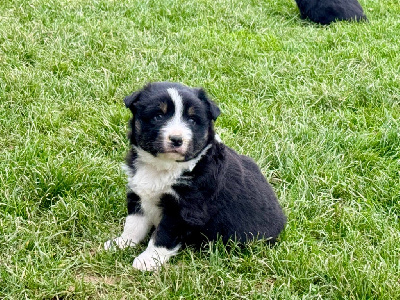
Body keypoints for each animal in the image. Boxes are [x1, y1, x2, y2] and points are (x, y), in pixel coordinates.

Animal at [104, 82, 286, 272]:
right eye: (158, 116)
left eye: (192, 120)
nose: (177, 139)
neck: (164, 167)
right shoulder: (138, 193)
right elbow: (133, 224)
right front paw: (121, 243)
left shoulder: (183, 210)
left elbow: (162, 236)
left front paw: (147, 260)